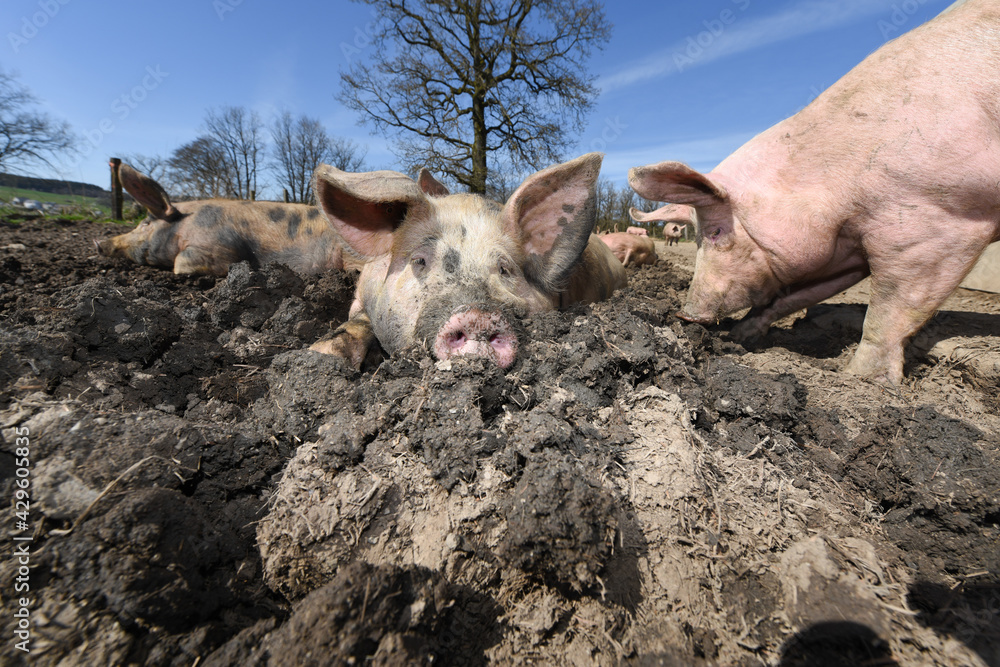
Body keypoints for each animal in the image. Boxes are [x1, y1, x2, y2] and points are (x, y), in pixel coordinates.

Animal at [628, 0, 1000, 386]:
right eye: (697, 236)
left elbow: (889, 307)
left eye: (715, 232)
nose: (685, 315)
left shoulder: (932, 225)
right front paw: (741, 336)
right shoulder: (840, 257)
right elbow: (792, 298)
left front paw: (861, 380)